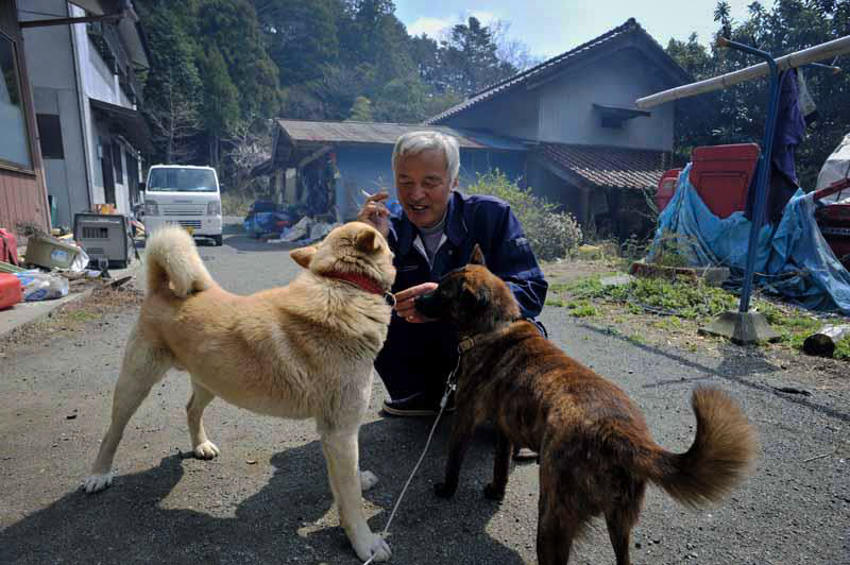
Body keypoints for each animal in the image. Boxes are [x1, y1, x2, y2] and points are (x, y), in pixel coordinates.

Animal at [414, 246, 752, 564]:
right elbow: (500, 467)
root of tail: (620, 434)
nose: (415, 300)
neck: (495, 327)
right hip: (619, 522)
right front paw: (496, 491)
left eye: (442, 292)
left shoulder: (466, 417)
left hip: (552, 516)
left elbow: (454, 460)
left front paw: (446, 489)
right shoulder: (505, 431)